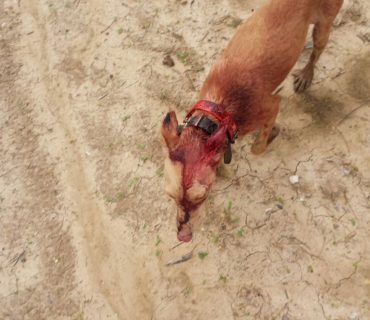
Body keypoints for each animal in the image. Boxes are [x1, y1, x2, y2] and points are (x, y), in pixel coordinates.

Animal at [160, 0, 342, 241]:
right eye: (170, 196)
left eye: (202, 198)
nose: (183, 237)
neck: (216, 112)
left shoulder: (272, 106)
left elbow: (258, 147)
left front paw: (272, 133)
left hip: (323, 28)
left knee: (316, 53)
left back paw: (306, 75)